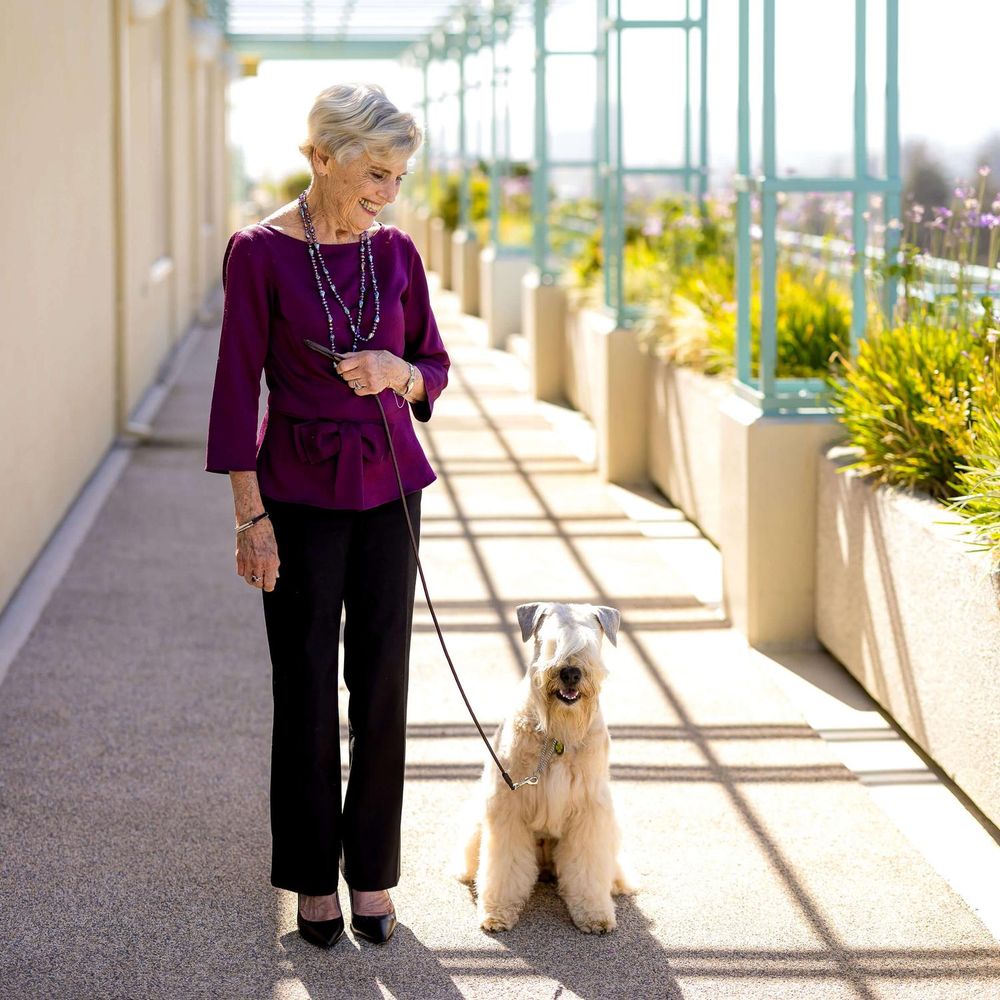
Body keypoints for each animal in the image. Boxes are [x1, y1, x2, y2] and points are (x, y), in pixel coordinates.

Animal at [458, 596, 636, 932]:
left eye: (589, 641)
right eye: (550, 640)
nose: (570, 673)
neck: (557, 737)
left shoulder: (590, 811)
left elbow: (588, 867)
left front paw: (594, 914)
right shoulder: (508, 806)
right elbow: (504, 866)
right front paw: (497, 912)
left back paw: (619, 881)